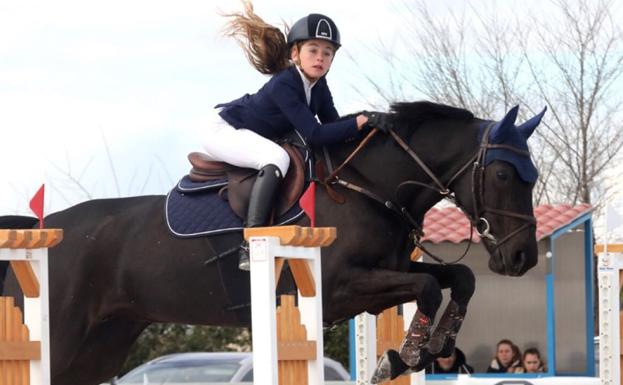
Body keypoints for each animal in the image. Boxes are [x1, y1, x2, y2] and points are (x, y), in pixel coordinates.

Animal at [0, 100, 544, 382]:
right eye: (501, 174)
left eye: (534, 176)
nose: (521, 257)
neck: (369, 187)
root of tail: (41, 231)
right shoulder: (340, 289)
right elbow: (429, 288)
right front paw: (404, 357)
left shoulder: (391, 271)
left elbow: (459, 276)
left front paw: (436, 345)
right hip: (60, 335)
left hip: (103, 344)